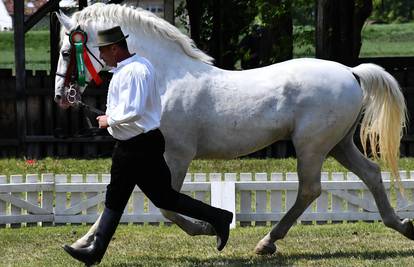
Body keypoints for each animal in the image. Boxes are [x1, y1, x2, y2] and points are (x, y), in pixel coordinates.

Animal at [54, 3, 410, 255]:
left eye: (66, 51)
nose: (61, 96)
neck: (165, 77)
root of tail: (351, 72)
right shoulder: (151, 156)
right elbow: (120, 197)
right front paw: (83, 243)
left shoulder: (177, 156)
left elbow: (166, 205)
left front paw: (210, 229)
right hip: (338, 144)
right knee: (371, 173)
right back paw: (403, 225)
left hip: (312, 147)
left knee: (310, 190)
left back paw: (267, 242)